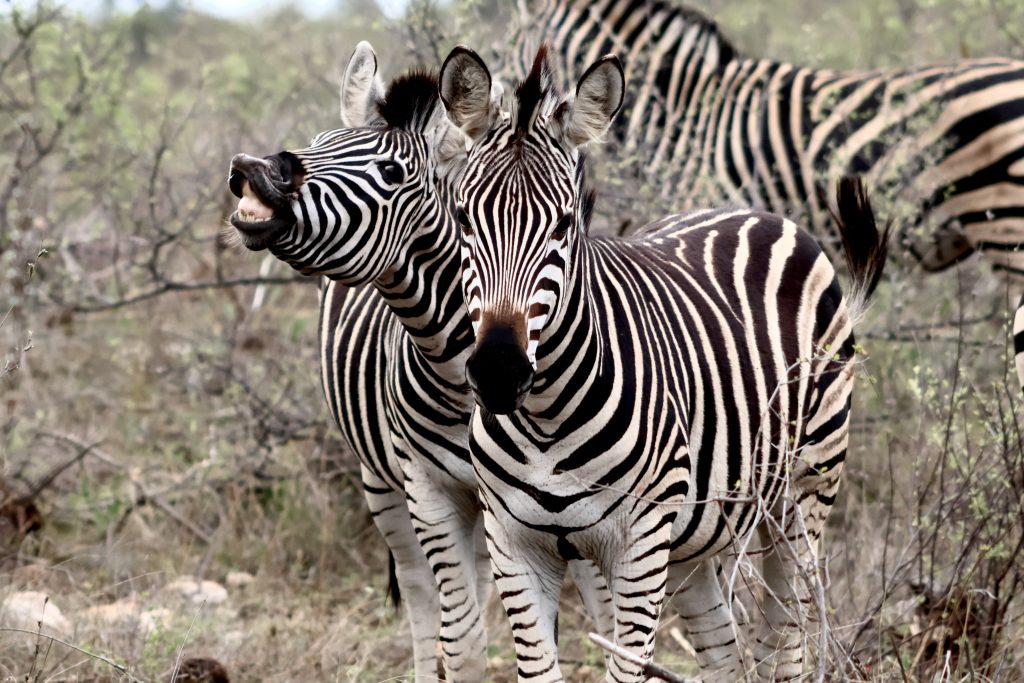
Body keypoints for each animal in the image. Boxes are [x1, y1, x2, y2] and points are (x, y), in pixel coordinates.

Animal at [226, 42, 613, 681]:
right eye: (320, 139)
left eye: (391, 173)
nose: (253, 170)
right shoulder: (426, 488)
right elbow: (460, 638)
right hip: (379, 480)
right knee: (420, 595)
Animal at [439, 44, 888, 682]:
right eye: (462, 218)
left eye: (566, 223)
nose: (500, 372)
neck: (546, 420)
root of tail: (760, 214)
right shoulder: (513, 545)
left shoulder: (639, 545)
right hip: (694, 538)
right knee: (726, 654)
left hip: (804, 493)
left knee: (788, 637)